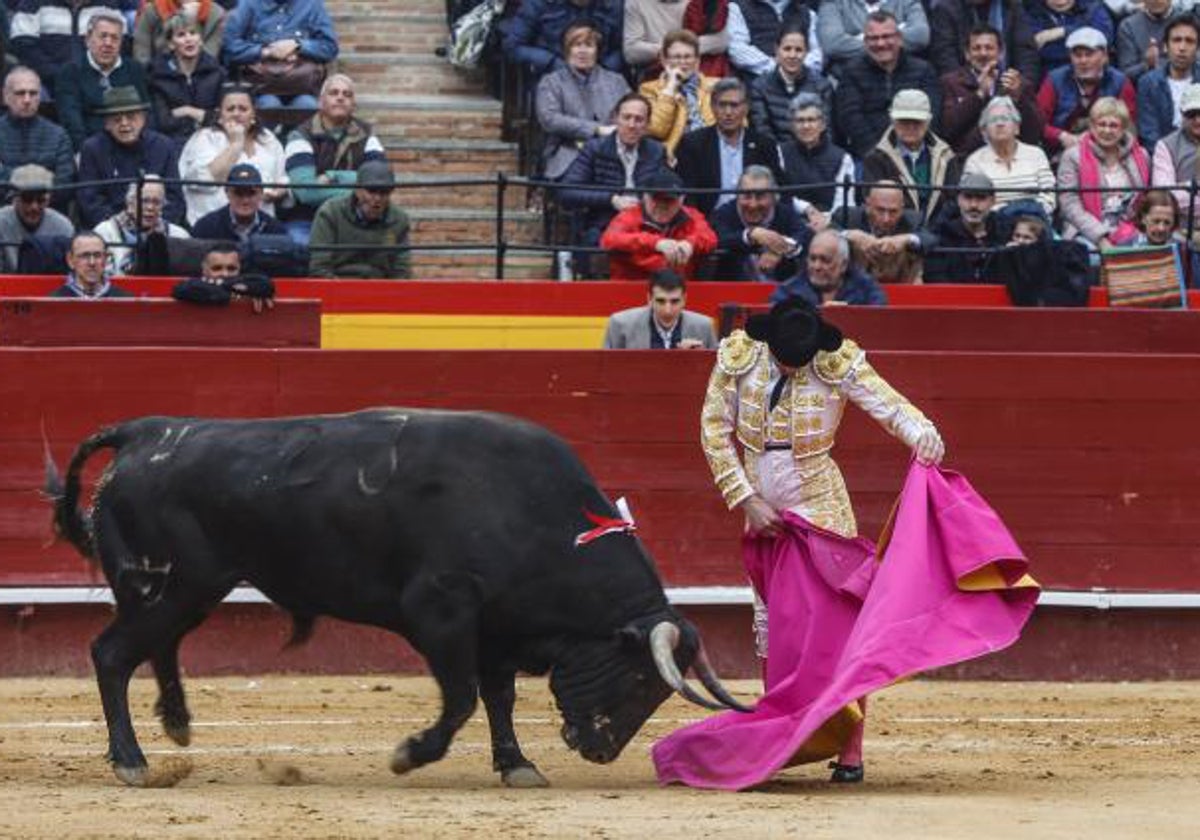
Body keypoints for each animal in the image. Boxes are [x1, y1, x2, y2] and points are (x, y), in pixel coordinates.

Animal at [46, 408, 744, 787]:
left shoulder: (497, 628)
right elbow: (462, 698)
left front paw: (517, 764)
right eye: (641, 679)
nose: (599, 750)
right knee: (112, 655)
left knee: (157, 647)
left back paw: (178, 724)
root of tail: (146, 432)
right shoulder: (441, 615)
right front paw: (410, 754)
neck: (537, 517)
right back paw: (131, 760)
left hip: (185, 588)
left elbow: (498, 699)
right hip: (166, 585)